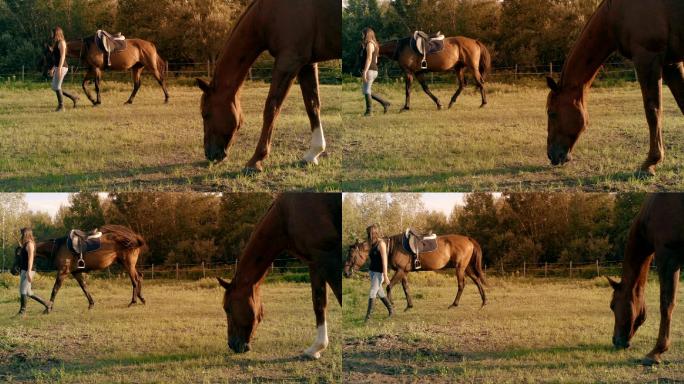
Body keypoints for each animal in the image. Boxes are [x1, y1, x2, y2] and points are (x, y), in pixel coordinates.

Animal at [195, 0, 340, 172]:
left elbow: (271, 108)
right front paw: (313, 154)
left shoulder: (289, 60)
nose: (209, 154)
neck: (266, 12)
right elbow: (312, 106)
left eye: (206, 114)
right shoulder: (307, 64)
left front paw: (255, 160)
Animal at [216, 194, 342, 358]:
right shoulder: (315, 262)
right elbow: (319, 303)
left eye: (227, 308)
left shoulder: (328, 257)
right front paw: (316, 348)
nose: (232, 344)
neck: (286, 214)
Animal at [342, 232, 486, 310]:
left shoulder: (400, 271)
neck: (392, 247)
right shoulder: (404, 272)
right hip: (466, 268)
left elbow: (389, 286)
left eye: (352, 255)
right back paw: (484, 302)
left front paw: (392, 304)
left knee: (461, 285)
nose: (346, 272)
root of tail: (468, 239)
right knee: (477, 280)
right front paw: (409, 306)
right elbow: (406, 288)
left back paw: (454, 304)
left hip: (460, 268)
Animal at [544, 0, 684, 176]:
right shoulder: (671, 65)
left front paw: (650, 163)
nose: (551, 155)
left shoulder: (647, 59)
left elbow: (653, 112)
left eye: (552, 113)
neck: (617, 13)